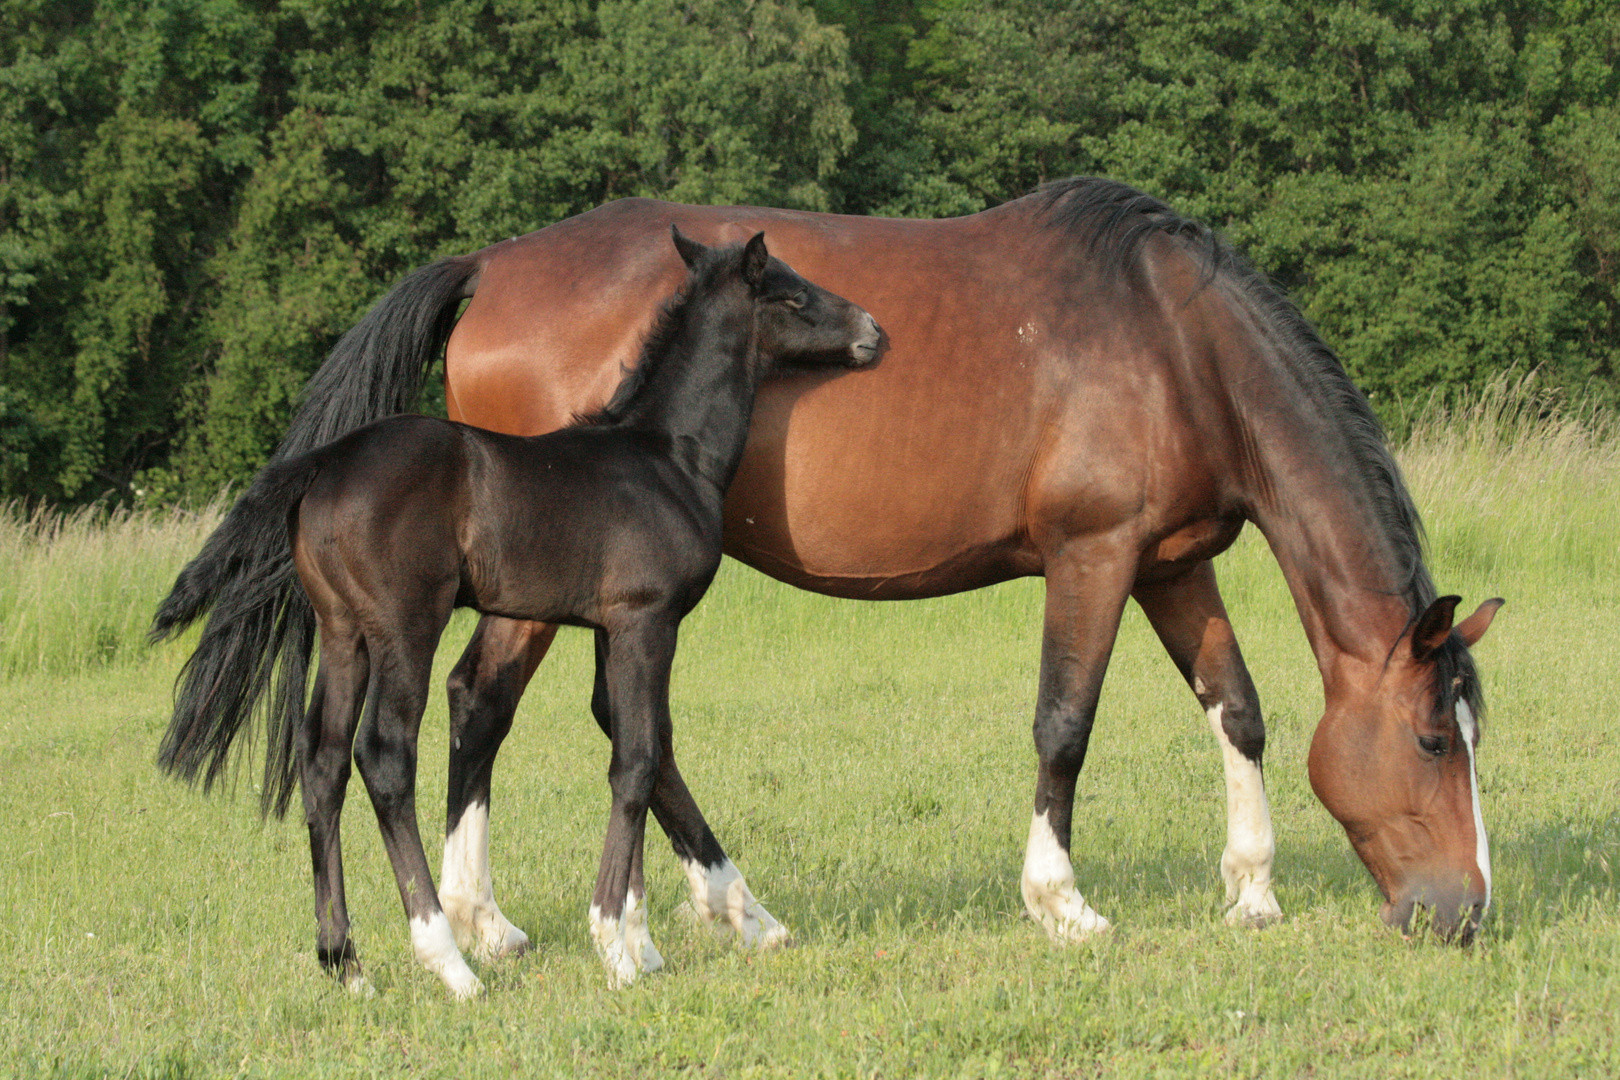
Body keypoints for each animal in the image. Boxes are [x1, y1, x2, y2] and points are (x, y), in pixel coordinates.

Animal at [152, 229, 887, 997]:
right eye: (792, 294)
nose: (873, 330)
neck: (668, 455)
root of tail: (326, 461)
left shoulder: (611, 628)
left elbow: (637, 742)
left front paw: (639, 940)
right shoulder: (648, 620)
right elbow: (637, 759)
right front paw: (614, 945)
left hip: (343, 632)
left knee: (322, 763)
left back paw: (346, 964)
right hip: (405, 628)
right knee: (383, 756)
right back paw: (448, 960)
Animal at [268, 177, 1503, 965]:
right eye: (1433, 743)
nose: (1465, 914)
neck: (1172, 338)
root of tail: (493, 265)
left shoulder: (1169, 565)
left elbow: (1237, 710)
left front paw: (1252, 887)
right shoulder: (1092, 558)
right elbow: (1065, 723)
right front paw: (1060, 902)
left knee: (583, 728)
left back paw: (707, 910)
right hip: (540, 594)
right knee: (488, 707)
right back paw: (489, 923)